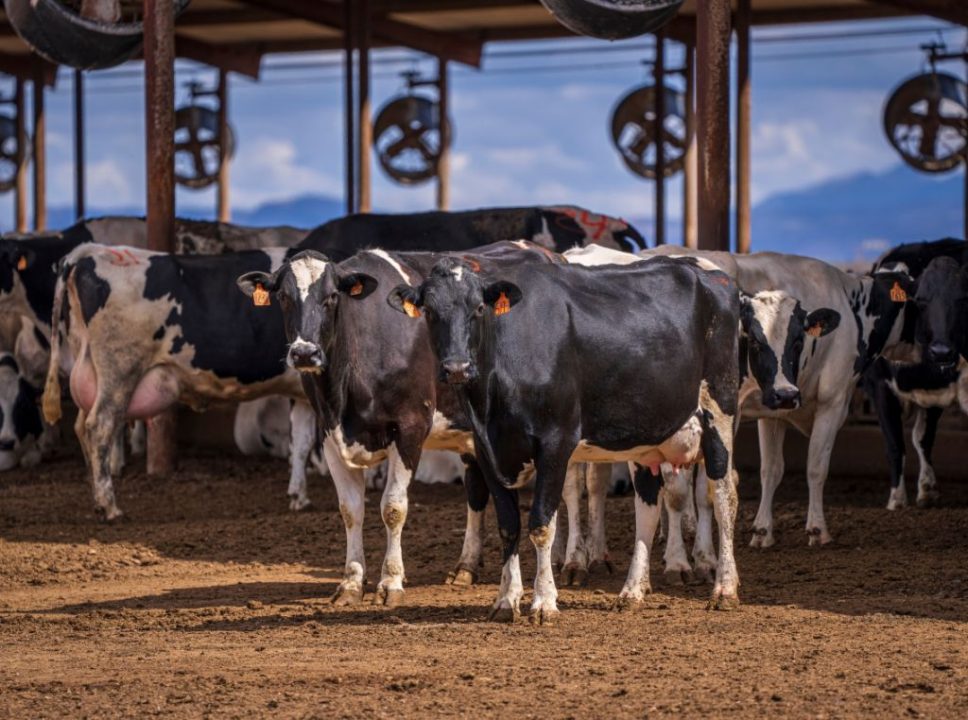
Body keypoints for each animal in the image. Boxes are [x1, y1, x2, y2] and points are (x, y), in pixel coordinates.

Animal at [390, 256, 744, 620]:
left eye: (478, 308)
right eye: (430, 310)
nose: (457, 368)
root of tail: (707, 273)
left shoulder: (555, 442)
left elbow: (542, 524)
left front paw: (544, 602)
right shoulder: (486, 449)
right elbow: (509, 525)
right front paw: (506, 600)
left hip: (719, 410)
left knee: (724, 497)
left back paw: (724, 589)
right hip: (647, 436)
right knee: (647, 506)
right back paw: (632, 592)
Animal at [644, 246, 916, 544]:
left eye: (799, 341)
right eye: (753, 340)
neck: (852, 305)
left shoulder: (774, 410)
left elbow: (771, 470)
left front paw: (763, 531)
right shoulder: (833, 401)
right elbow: (816, 467)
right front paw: (817, 529)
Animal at [864, 239, 968, 510]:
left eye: (962, 299)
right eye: (920, 300)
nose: (941, 351)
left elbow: (916, 438)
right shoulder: (882, 385)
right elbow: (903, 441)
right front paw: (906, 497)